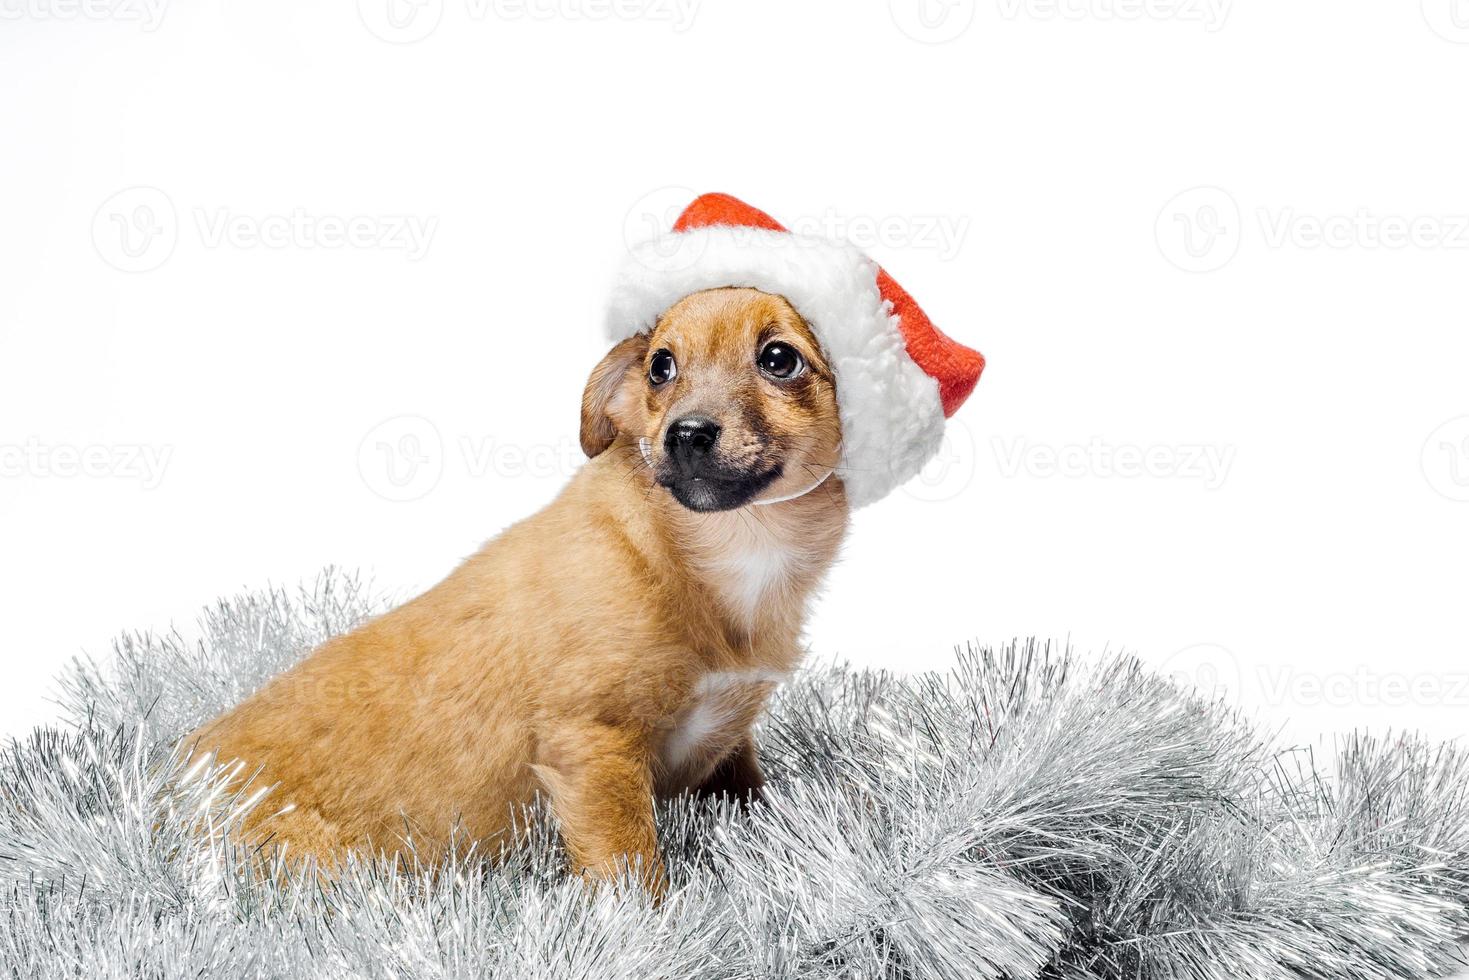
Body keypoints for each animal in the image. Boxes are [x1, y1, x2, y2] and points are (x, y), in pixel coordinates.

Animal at [189, 287, 852, 893]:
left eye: (779, 359)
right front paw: (649, 932)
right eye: (661, 367)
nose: (685, 433)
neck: (725, 550)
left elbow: (748, 792)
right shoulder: (594, 746)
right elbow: (631, 869)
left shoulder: (729, 738)